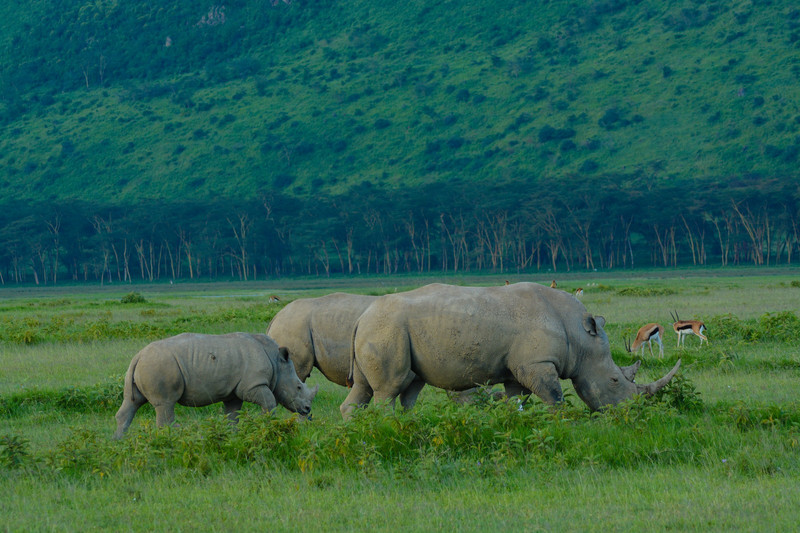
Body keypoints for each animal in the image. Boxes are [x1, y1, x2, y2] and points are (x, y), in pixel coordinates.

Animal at [113, 330, 318, 438]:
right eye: (298, 387)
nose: (308, 409)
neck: (277, 362)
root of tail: (138, 356)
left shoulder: (234, 392)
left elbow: (232, 415)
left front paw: (232, 435)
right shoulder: (253, 385)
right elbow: (269, 401)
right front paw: (267, 425)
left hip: (145, 366)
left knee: (132, 403)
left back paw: (118, 441)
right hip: (159, 365)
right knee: (165, 404)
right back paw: (172, 437)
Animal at [340, 280, 680, 418]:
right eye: (614, 380)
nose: (631, 412)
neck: (581, 338)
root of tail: (361, 316)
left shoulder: (519, 369)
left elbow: (517, 401)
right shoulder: (537, 363)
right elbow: (554, 398)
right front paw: (563, 423)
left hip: (379, 329)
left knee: (383, 387)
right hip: (386, 329)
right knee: (391, 388)